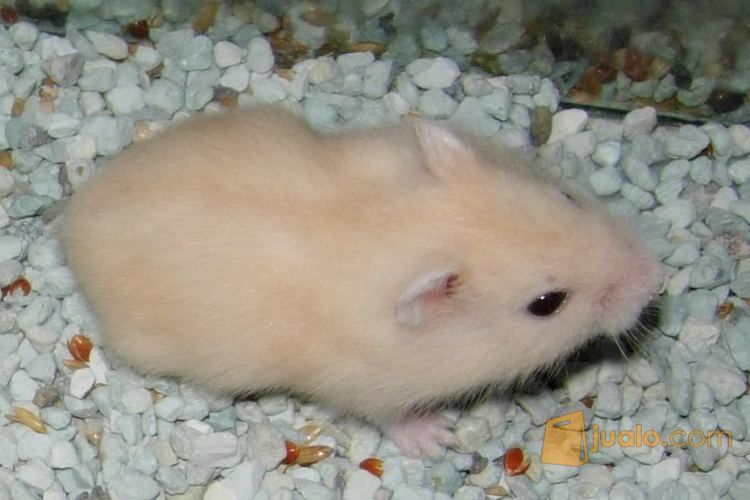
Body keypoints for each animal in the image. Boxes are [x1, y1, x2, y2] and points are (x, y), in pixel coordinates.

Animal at [60, 107, 663, 458]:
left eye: (568, 196)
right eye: (546, 304)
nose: (657, 280)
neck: (395, 229)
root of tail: (76, 216)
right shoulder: (371, 387)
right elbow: (394, 419)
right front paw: (438, 441)